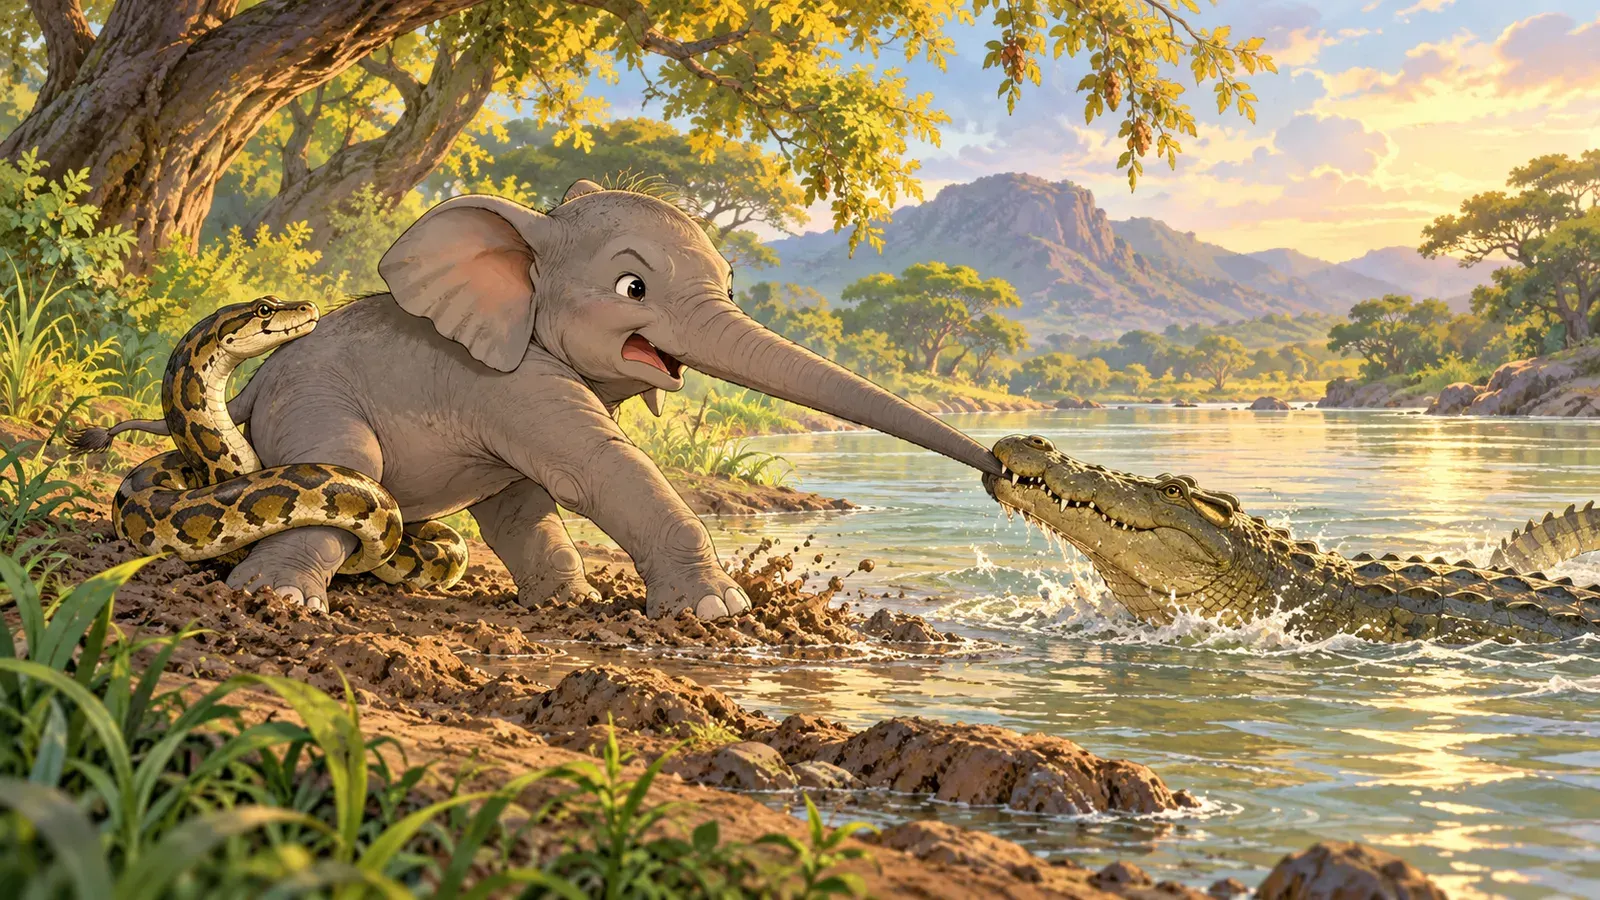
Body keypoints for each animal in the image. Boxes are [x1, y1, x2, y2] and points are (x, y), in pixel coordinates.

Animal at [219, 179, 1001, 617]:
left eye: (730, 279)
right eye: (633, 288)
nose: (1004, 469)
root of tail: (251, 389)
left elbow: (525, 502)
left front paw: (575, 602)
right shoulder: (501, 378)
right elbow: (595, 467)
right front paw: (719, 609)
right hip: (311, 399)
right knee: (349, 465)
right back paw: (276, 600)